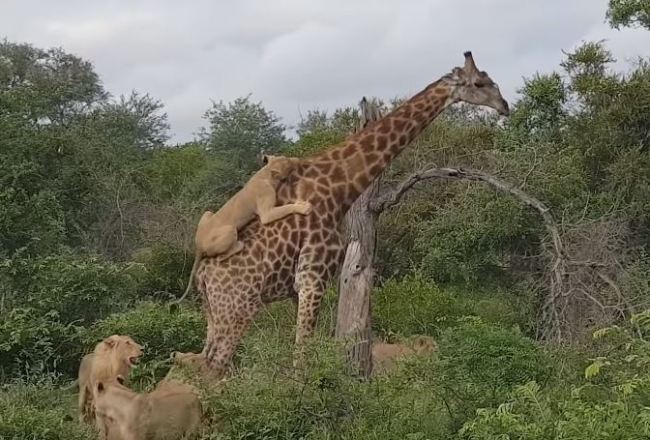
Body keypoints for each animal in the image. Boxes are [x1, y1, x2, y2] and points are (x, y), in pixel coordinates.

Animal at [175, 154, 312, 302]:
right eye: (287, 162)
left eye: (284, 157)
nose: (297, 159)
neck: (265, 173)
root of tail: (198, 246)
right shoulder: (266, 213)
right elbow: (286, 207)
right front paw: (303, 207)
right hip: (229, 230)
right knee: (220, 256)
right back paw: (239, 244)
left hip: (207, 213)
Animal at [195, 50, 508, 374]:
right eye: (479, 82)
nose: (505, 106)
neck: (339, 190)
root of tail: (202, 276)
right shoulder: (313, 276)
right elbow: (302, 356)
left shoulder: (301, 286)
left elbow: (305, 349)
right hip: (237, 310)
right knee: (212, 368)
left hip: (213, 314)